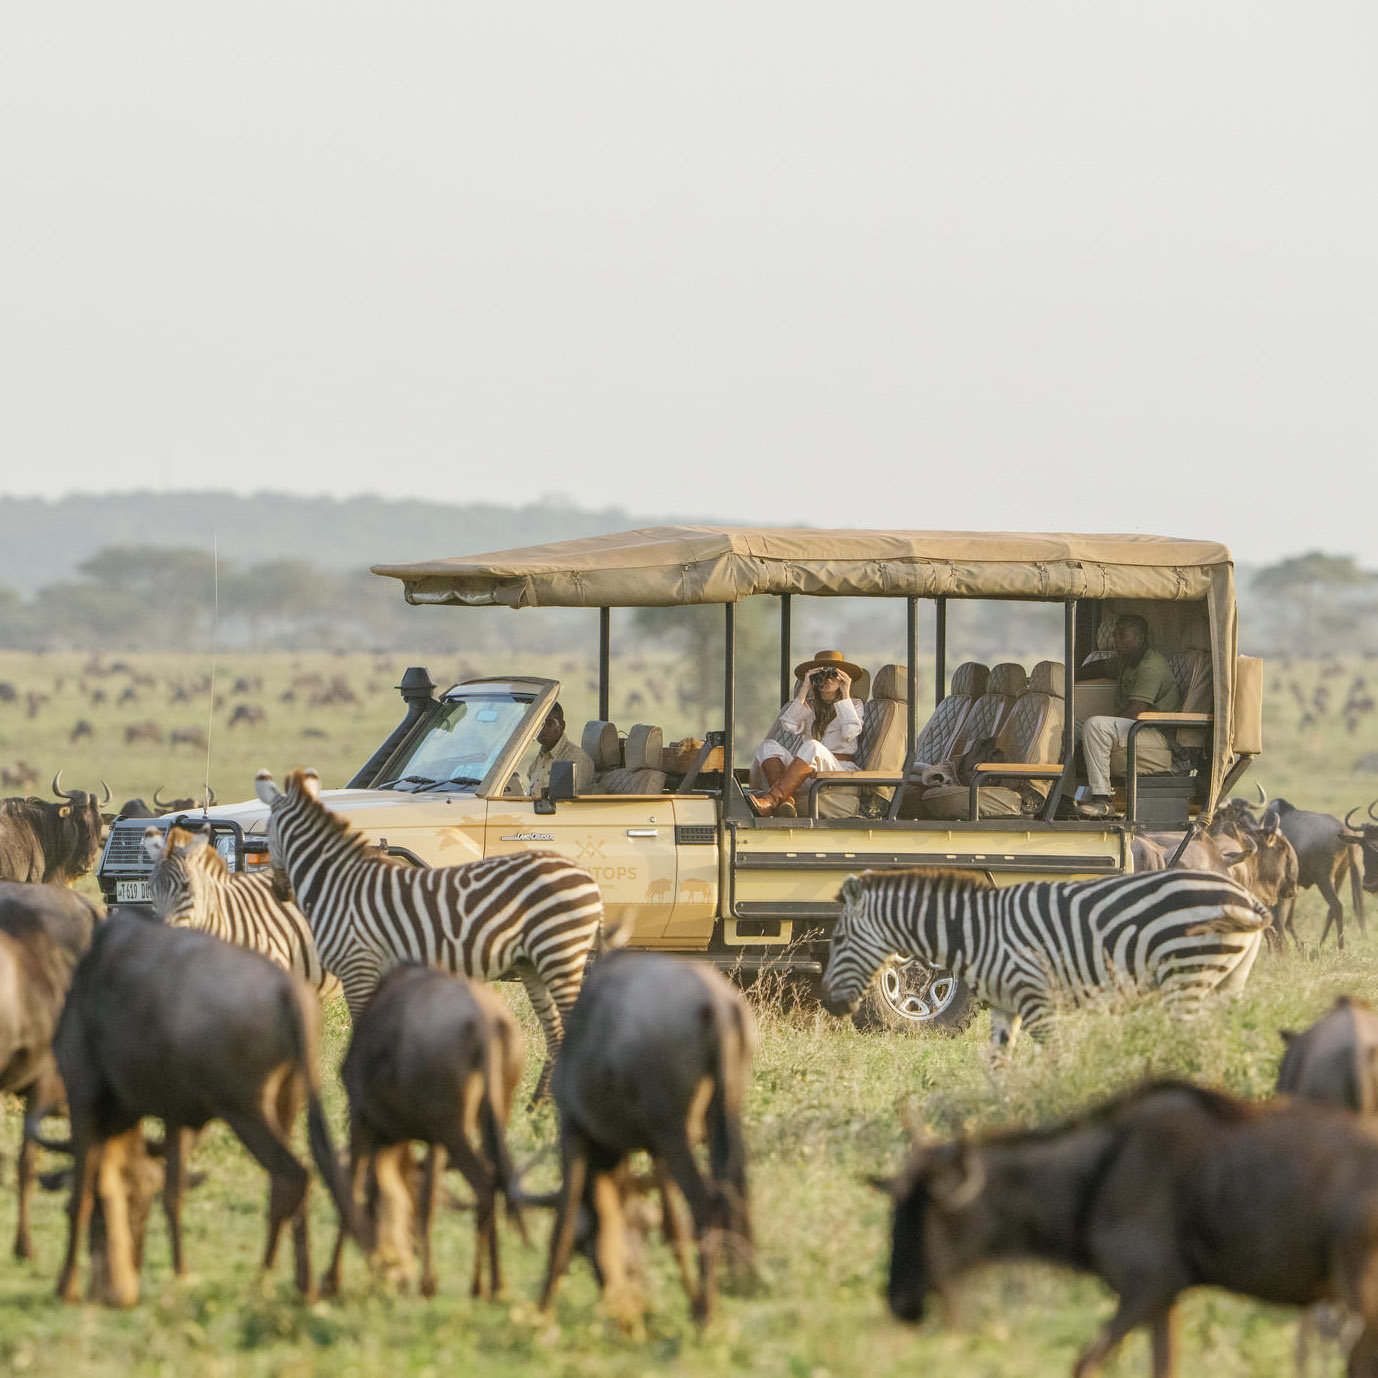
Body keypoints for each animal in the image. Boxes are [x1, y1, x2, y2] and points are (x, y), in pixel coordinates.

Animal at [253, 766, 609, 1096]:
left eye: (267, 835)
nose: (280, 891)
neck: (338, 881)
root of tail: (588, 879)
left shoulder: (358, 965)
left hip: (559, 951)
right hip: (538, 961)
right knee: (557, 1032)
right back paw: (538, 1106)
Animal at [815, 865, 1267, 1047]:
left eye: (838, 939)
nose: (829, 1003)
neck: (976, 931)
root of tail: (1247, 898)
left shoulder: (1036, 997)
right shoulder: (1006, 1003)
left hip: (1186, 975)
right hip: (1227, 980)